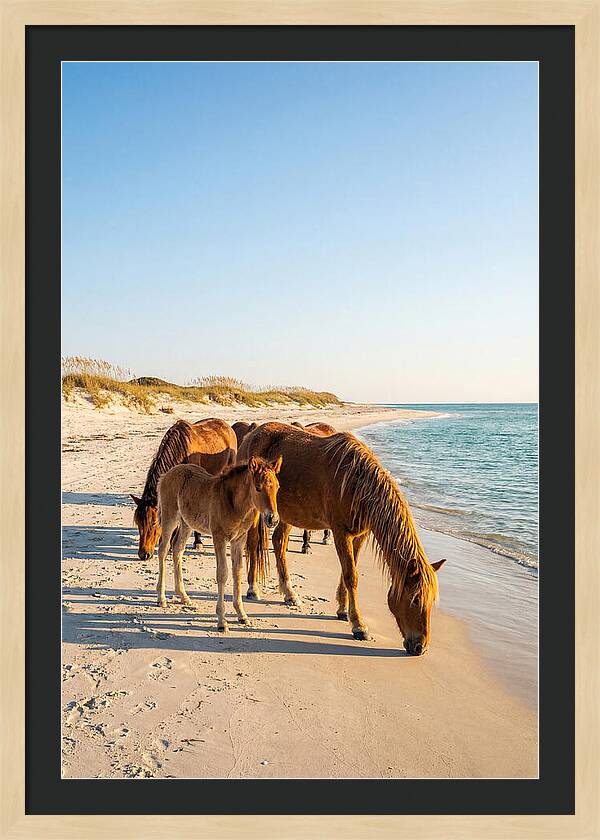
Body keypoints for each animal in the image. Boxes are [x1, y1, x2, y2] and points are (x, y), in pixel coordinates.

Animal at [131, 418, 237, 560]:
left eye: (153, 523)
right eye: (138, 523)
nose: (143, 554)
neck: (181, 451)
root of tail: (226, 426)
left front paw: (197, 542)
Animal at [157, 456, 282, 631]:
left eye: (277, 487)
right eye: (258, 488)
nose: (273, 519)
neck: (234, 503)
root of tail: (167, 474)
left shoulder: (239, 540)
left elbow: (238, 572)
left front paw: (242, 615)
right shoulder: (219, 538)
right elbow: (222, 573)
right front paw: (222, 621)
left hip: (186, 523)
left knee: (177, 550)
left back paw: (184, 596)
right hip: (170, 518)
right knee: (163, 549)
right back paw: (161, 598)